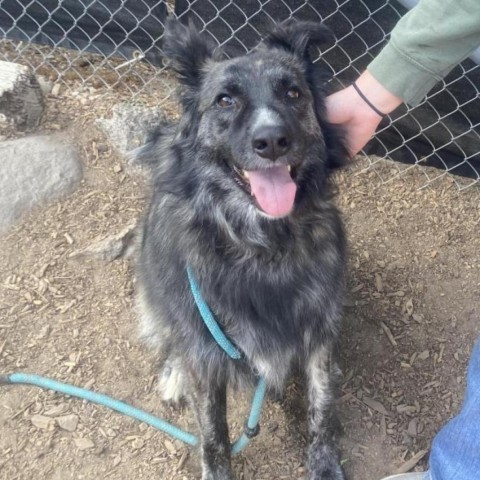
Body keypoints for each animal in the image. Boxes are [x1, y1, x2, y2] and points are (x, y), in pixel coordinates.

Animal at [135, 16, 348, 478]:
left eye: (293, 93)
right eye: (225, 100)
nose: (272, 141)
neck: (264, 247)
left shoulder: (320, 328)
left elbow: (323, 405)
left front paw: (324, 461)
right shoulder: (205, 346)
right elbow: (213, 431)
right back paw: (173, 373)